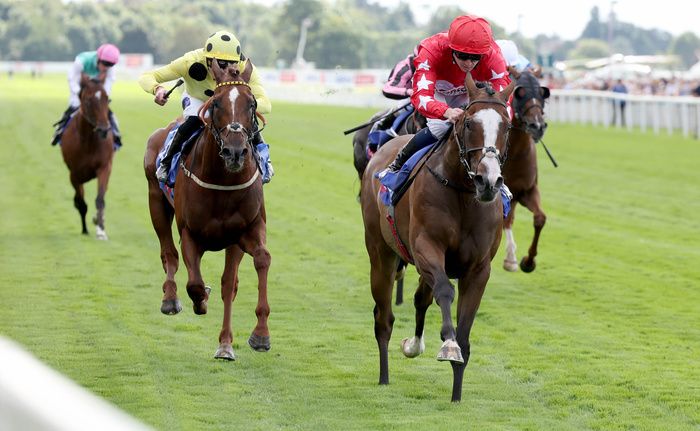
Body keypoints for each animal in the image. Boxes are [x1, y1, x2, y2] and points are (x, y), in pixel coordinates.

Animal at [59, 74, 113, 240]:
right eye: (88, 100)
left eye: (106, 98)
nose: (103, 129)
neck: (88, 142)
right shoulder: (74, 175)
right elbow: (81, 203)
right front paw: (85, 230)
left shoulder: (104, 167)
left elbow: (100, 199)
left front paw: (101, 229)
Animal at [142, 59, 270, 360]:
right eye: (217, 103)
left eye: (251, 104)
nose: (235, 152)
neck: (222, 180)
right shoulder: (190, 233)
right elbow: (195, 283)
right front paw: (200, 300)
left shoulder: (243, 233)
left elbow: (245, 272)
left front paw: (251, 337)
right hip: (156, 201)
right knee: (169, 254)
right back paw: (170, 299)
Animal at [360, 73, 516, 402]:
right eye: (468, 123)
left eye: (507, 127)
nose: (488, 181)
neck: (463, 194)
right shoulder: (426, 248)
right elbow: (445, 291)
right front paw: (448, 345)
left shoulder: (478, 268)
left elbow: (465, 332)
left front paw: (456, 393)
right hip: (381, 253)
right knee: (384, 318)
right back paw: (384, 376)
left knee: (420, 299)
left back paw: (413, 345)